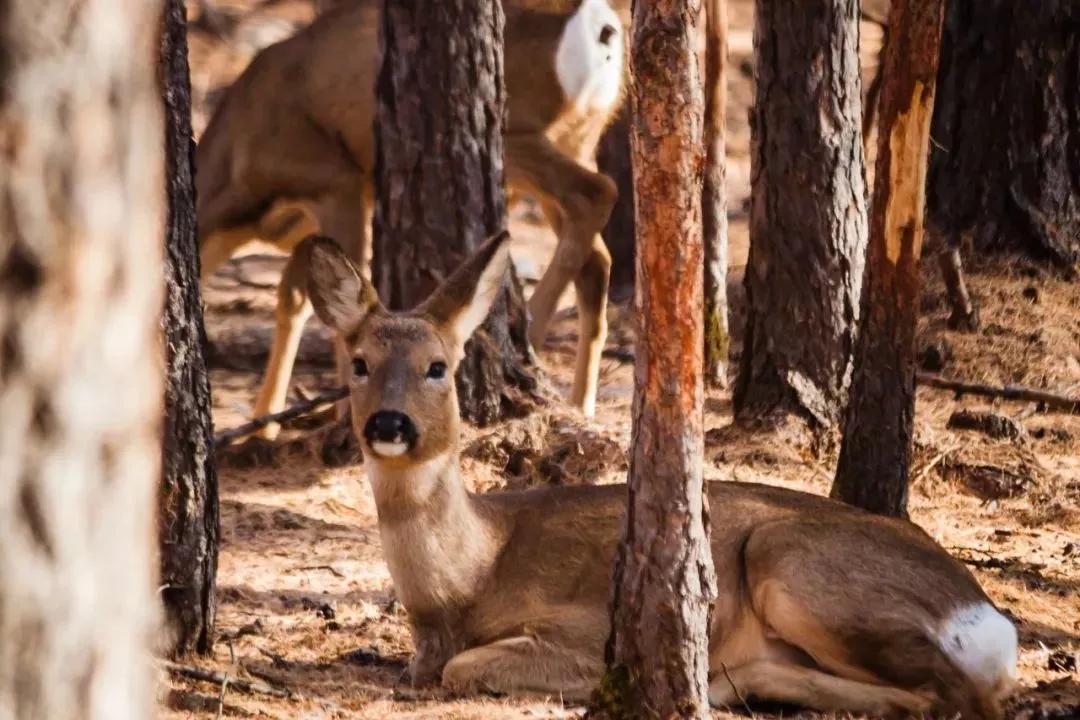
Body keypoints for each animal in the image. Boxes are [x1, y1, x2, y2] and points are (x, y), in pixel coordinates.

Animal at [198, 0, 630, 436]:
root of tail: (602, 25)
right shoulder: (304, 228)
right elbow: (294, 297)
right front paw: (264, 424)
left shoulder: (338, 184)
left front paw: (338, 415)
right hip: (577, 138)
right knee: (596, 256)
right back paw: (579, 405)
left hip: (517, 133)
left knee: (597, 192)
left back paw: (531, 334)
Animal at [306, 232, 1019, 720]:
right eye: (359, 363)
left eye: (437, 366)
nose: (390, 423)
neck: (465, 581)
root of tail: (991, 619)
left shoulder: (586, 625)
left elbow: (465, 667)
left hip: (795, 563)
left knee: (955, 693)